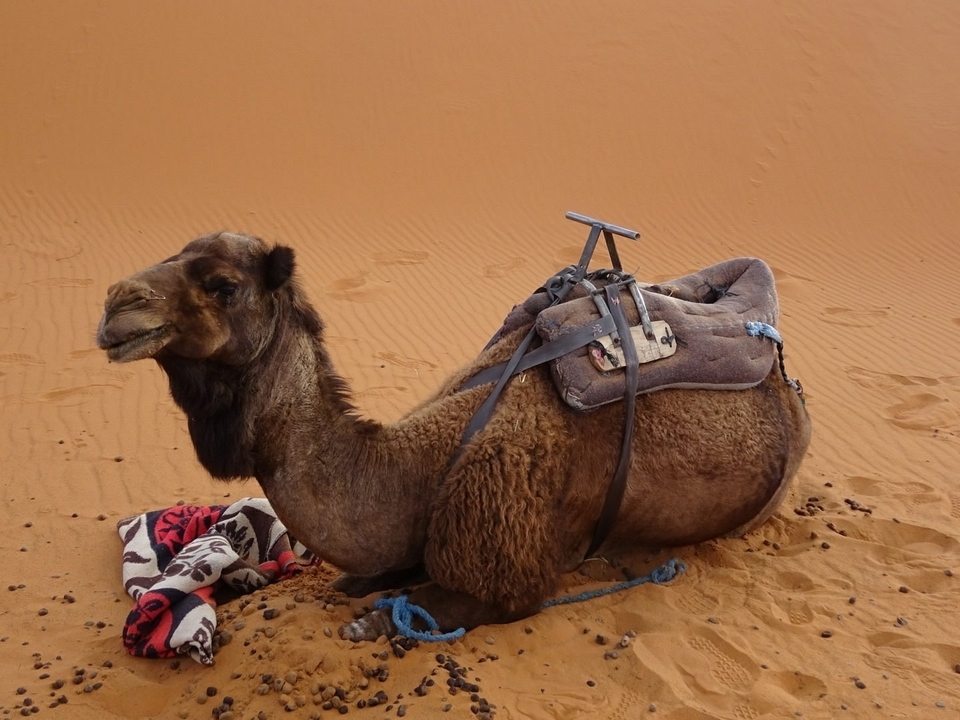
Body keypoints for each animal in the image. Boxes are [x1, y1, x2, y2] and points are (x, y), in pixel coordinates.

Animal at [97, 231, 811, 641]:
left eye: (223, 284)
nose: (114, 304)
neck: (418, 467)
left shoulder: (509, 565)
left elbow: (418, 608)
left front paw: (376, 617)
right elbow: (359, 576)